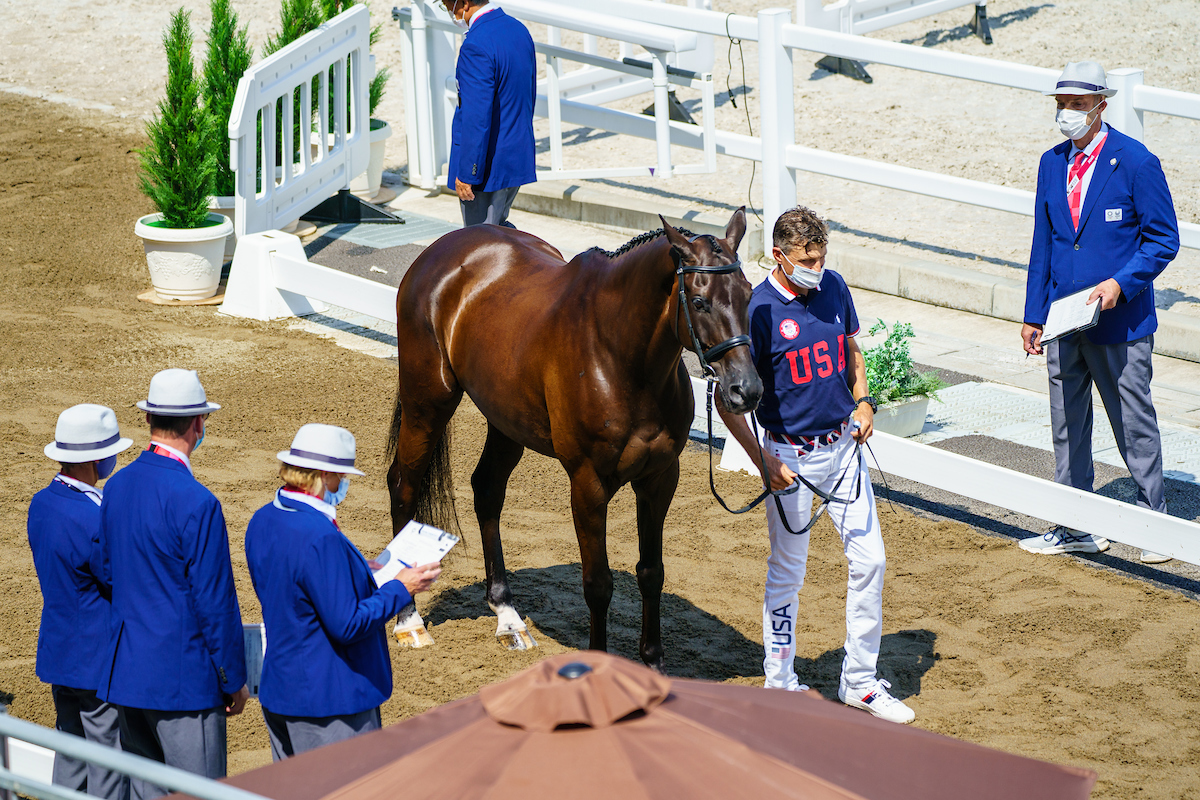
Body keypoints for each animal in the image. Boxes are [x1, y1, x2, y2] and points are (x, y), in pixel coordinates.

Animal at [384, 208, 758, 671]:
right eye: (701, 300)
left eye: (748, 295)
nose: (746, 390)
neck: (620, 356)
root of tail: (440, 251)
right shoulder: (588, 483)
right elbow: (598, 584)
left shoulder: (659, 479)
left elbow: (651, 573)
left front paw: (653, 665)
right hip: (428, 401)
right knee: (404, 484)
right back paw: (409, 621)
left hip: (506, 421)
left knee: (486, 491)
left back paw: (508, 618)